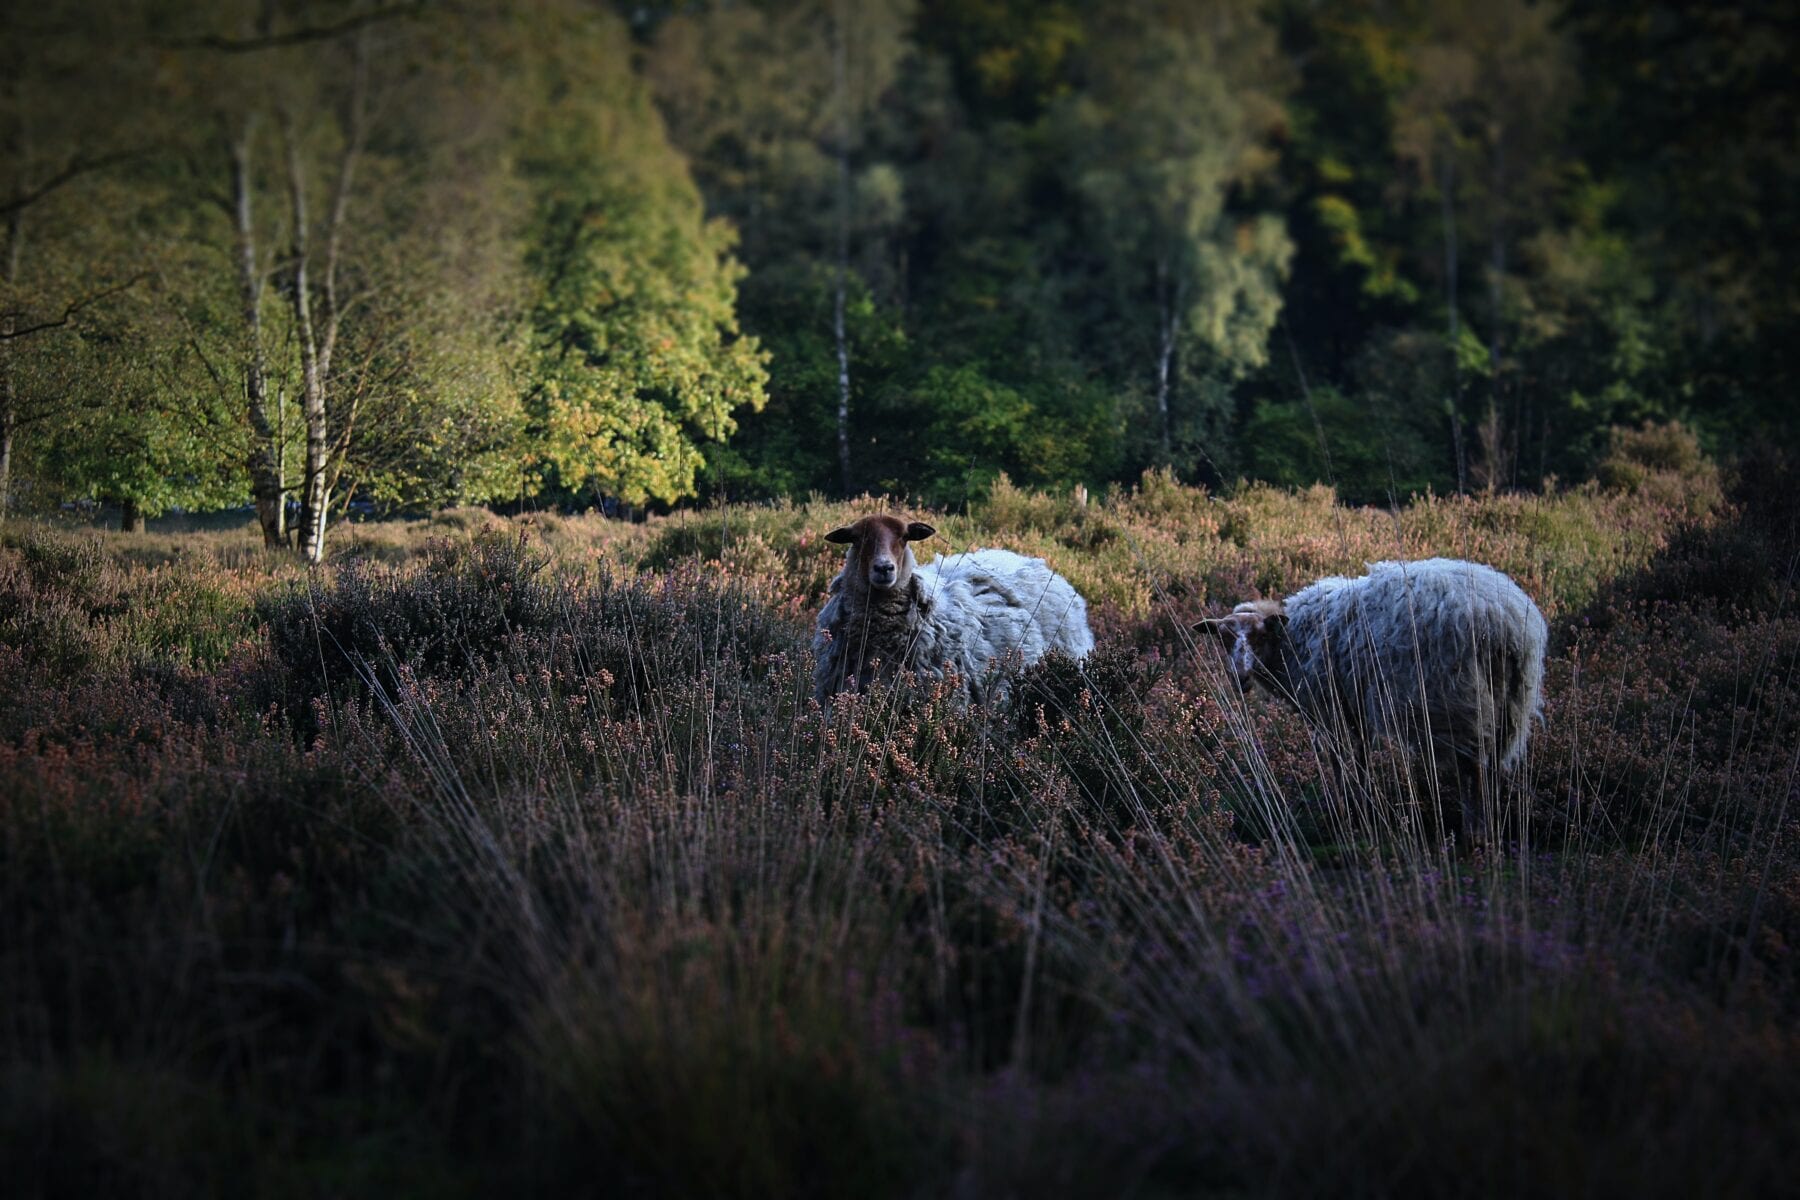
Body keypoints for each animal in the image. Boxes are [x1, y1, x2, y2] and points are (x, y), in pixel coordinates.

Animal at [1195, 557, 1548, 841]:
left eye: (1257, 637)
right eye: (1223, 639)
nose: (1239, 679)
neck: (1289, 642)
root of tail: (1503, 620)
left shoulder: (1328, 708)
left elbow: (1338, 760)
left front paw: (1344, 812)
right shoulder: (1355, 706)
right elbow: (1362, 755)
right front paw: (1364, 806)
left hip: (1457, 702)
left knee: (1471, 767)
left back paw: (1474, 833)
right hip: (1511, 702)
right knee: (1492, 766)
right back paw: (1491, 825)